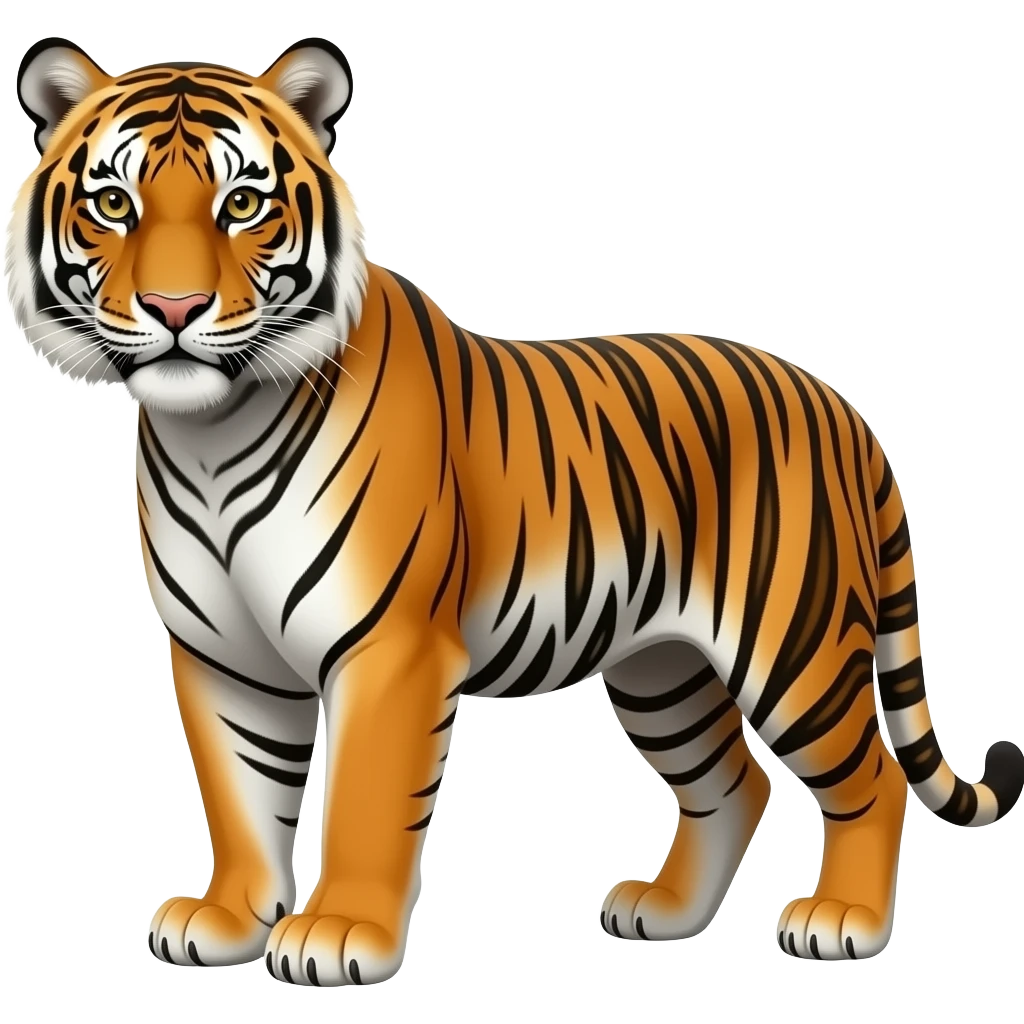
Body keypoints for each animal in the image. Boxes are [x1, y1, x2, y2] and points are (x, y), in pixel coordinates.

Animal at [4, 34, 1022, 987]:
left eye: (243, 206)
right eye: (113, 205)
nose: (175, 307)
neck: (210, 433)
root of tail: (838, 404)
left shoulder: (389, 648)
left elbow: (365, 799)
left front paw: (339, 935)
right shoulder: (223, 656)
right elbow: (239, 796)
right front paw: (225, 922)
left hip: (793, 646)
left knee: (872, 778)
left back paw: (844, 922)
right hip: (662, 669)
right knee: (732, 783)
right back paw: (666, 913)